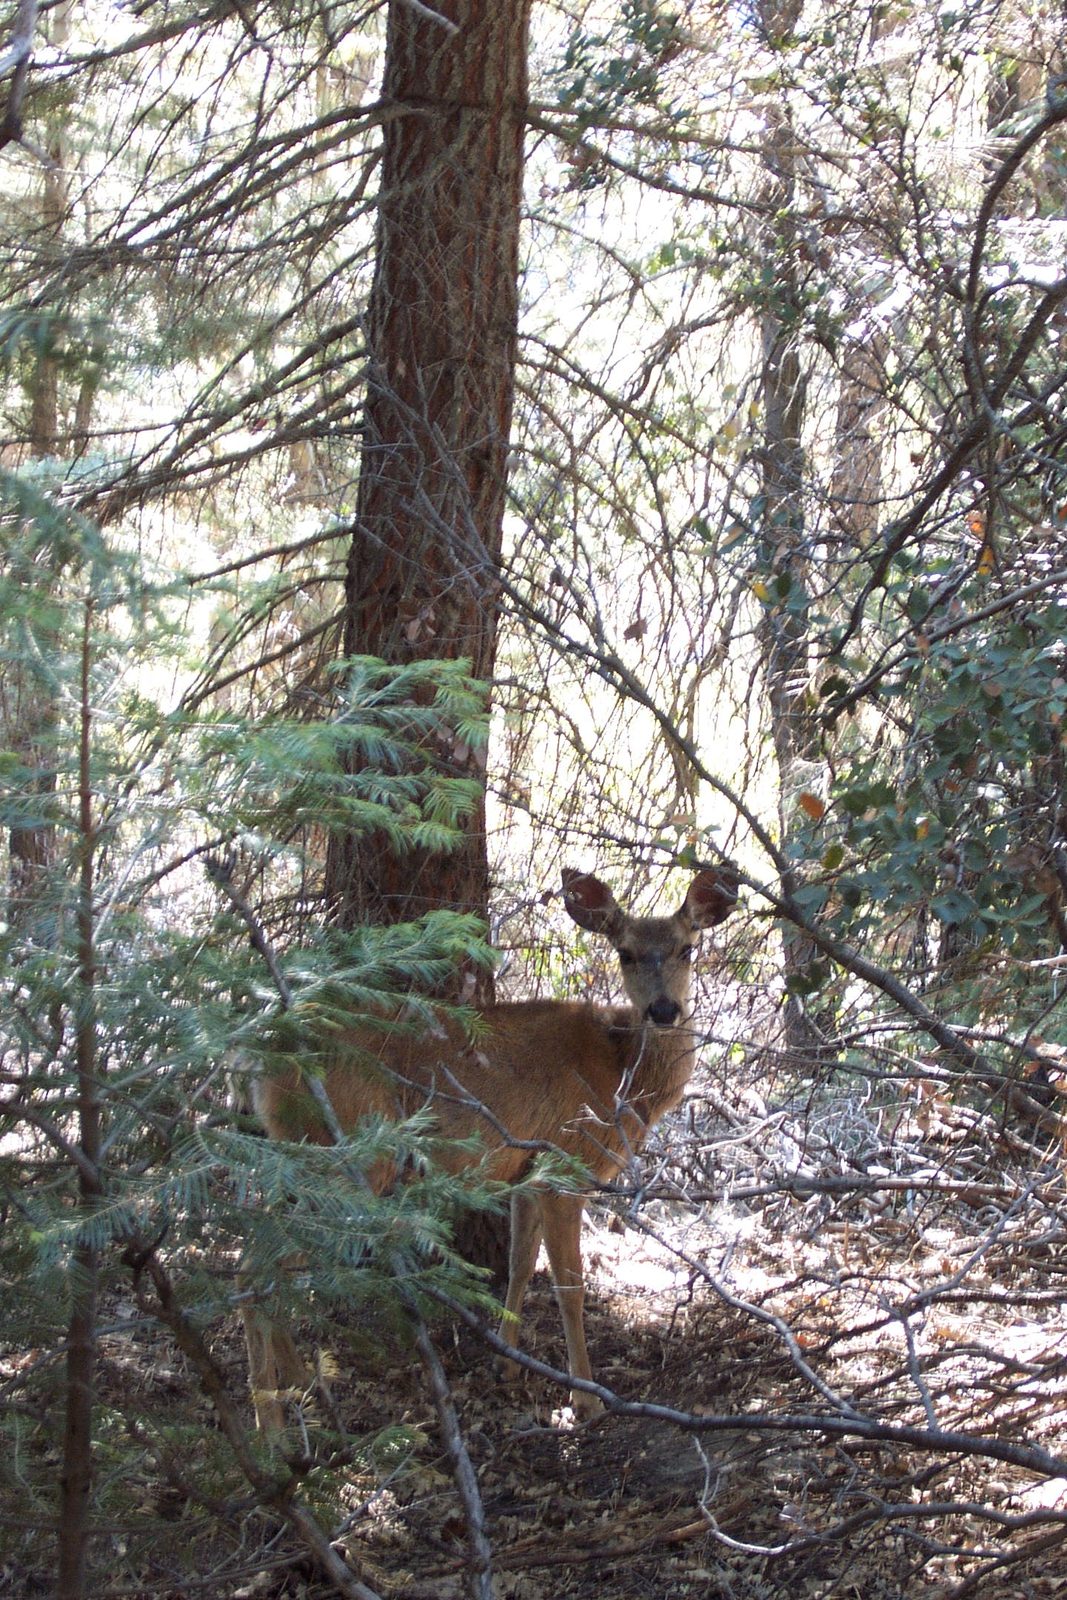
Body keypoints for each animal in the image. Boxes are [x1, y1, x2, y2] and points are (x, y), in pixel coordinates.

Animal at [243, 863, 738, 1431]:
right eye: (625, 953)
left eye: (687, 948)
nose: (663, 1009)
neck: (621, 1076)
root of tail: (258, 1057)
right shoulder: (566, 1160)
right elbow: (570, 1283)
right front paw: (586, 1398)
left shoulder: (526, 1169)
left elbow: (521, 1263)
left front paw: (508, 1362)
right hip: (351, 1152)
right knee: (258, 1266)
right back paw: (271, 1427)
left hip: (301, 1153)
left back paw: (298, 1379)